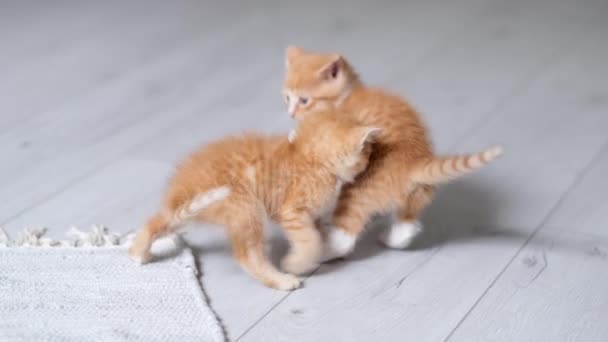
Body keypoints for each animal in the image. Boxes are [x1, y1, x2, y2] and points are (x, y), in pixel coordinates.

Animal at [127, 112, 380, 292]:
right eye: (367, 152)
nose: (372, 157)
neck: (312, 160)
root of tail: (179, 192)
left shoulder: (311, 215)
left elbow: (317, 234)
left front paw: (326, 246)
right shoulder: (292, 212)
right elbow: (309, 240)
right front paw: (297, 263)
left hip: (194, 213)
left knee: (156, 221)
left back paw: (139, 252)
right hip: (246, 206)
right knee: (247, 256)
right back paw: (281, 280)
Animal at [282, 44, 502, 260]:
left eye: (304, 100)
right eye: (287, 97)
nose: (290, 113)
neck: (345, 97)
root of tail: (414, 161)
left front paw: (294, 135)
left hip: (359, 190)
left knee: (345, 236)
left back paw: (323, 252)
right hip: (418, 193)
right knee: (408, 224)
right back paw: (392, 238)